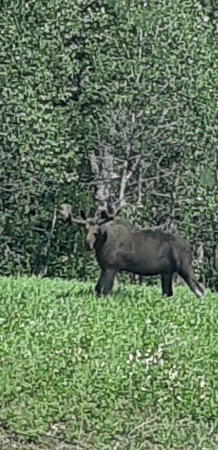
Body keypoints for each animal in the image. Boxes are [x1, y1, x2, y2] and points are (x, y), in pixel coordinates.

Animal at [59, 204, 204, 298]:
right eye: (85, 229)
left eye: (96, 231)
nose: (88, 244)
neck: (101, 244)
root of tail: (191, 248)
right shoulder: (105, 268)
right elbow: (98, 289)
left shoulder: (111, 267)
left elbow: (104, 290)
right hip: (167, 272)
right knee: (168, 293)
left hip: (184, 268)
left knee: (199, 290)